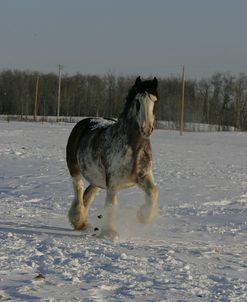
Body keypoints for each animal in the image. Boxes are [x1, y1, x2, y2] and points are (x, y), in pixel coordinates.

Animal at [66, 76, 158, 239]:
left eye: (155, 101)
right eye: (138, 102)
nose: (147, 129)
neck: (134, 149)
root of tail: (83, 122)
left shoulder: (143, 176)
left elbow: (153, 193)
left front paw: (143, 216)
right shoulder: (113, 182)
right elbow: (111, 205)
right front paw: (110, 233)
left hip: (97, 178)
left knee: (88, 194)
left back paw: (81, 222)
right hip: (75, 169)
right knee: (79, 189)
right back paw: (78, 220)